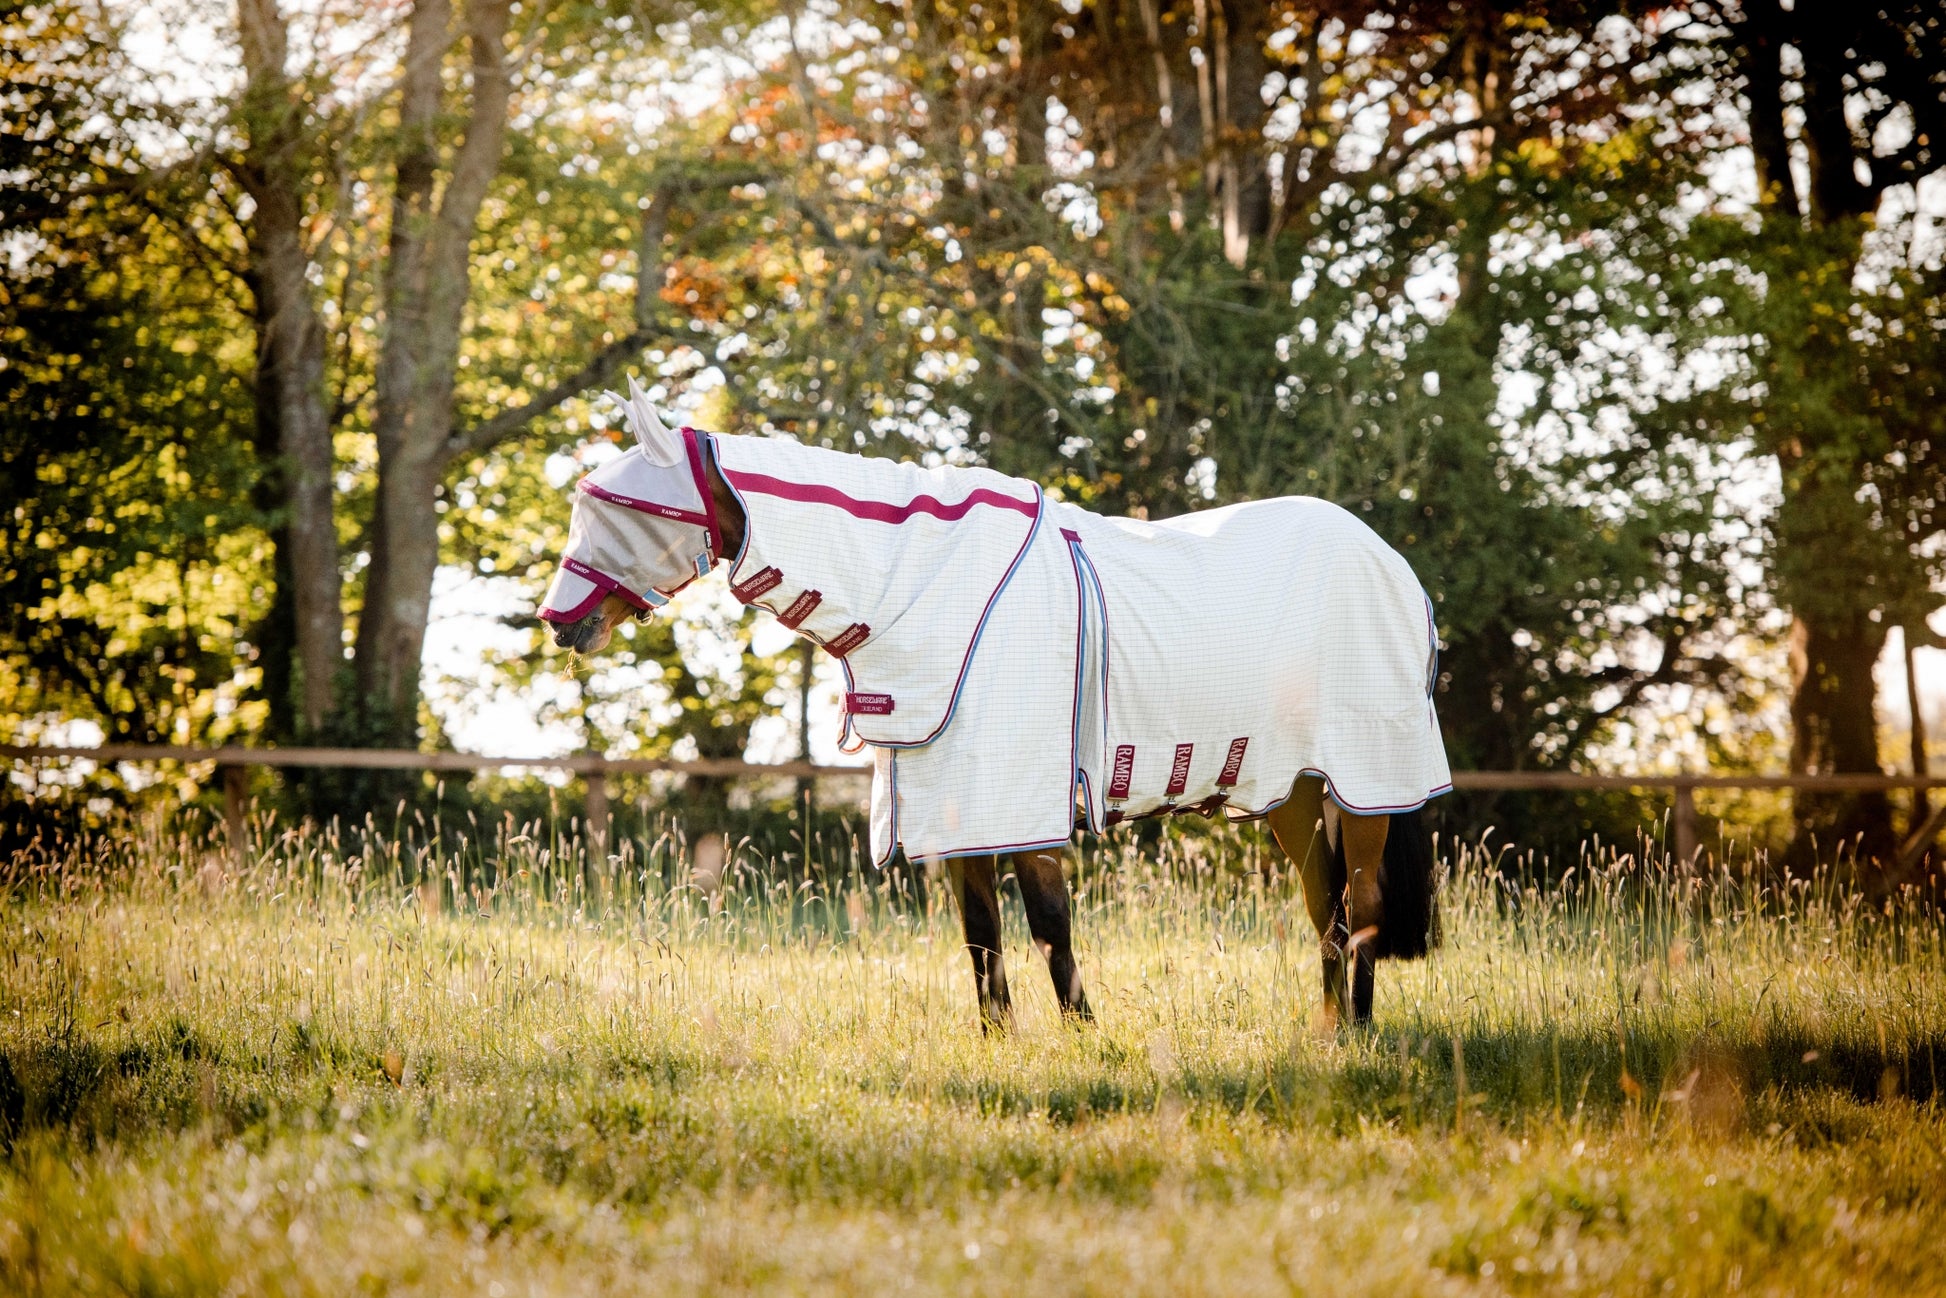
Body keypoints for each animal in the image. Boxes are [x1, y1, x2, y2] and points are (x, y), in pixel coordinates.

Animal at [540, 382, 1449, 1028]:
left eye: (616, 510)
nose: (558, 621)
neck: (922, 584)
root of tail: (1389, 560)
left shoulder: (1014, 802)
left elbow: (1048, 924)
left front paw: (1089, 1040)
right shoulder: (956, 812)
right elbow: (981, 935)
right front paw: (1000, 1042)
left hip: (1365, 785)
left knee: (1363, 907)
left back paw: (1354, 1033)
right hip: (1292, 789)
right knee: (1326, 906)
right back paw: (1326, 1029)